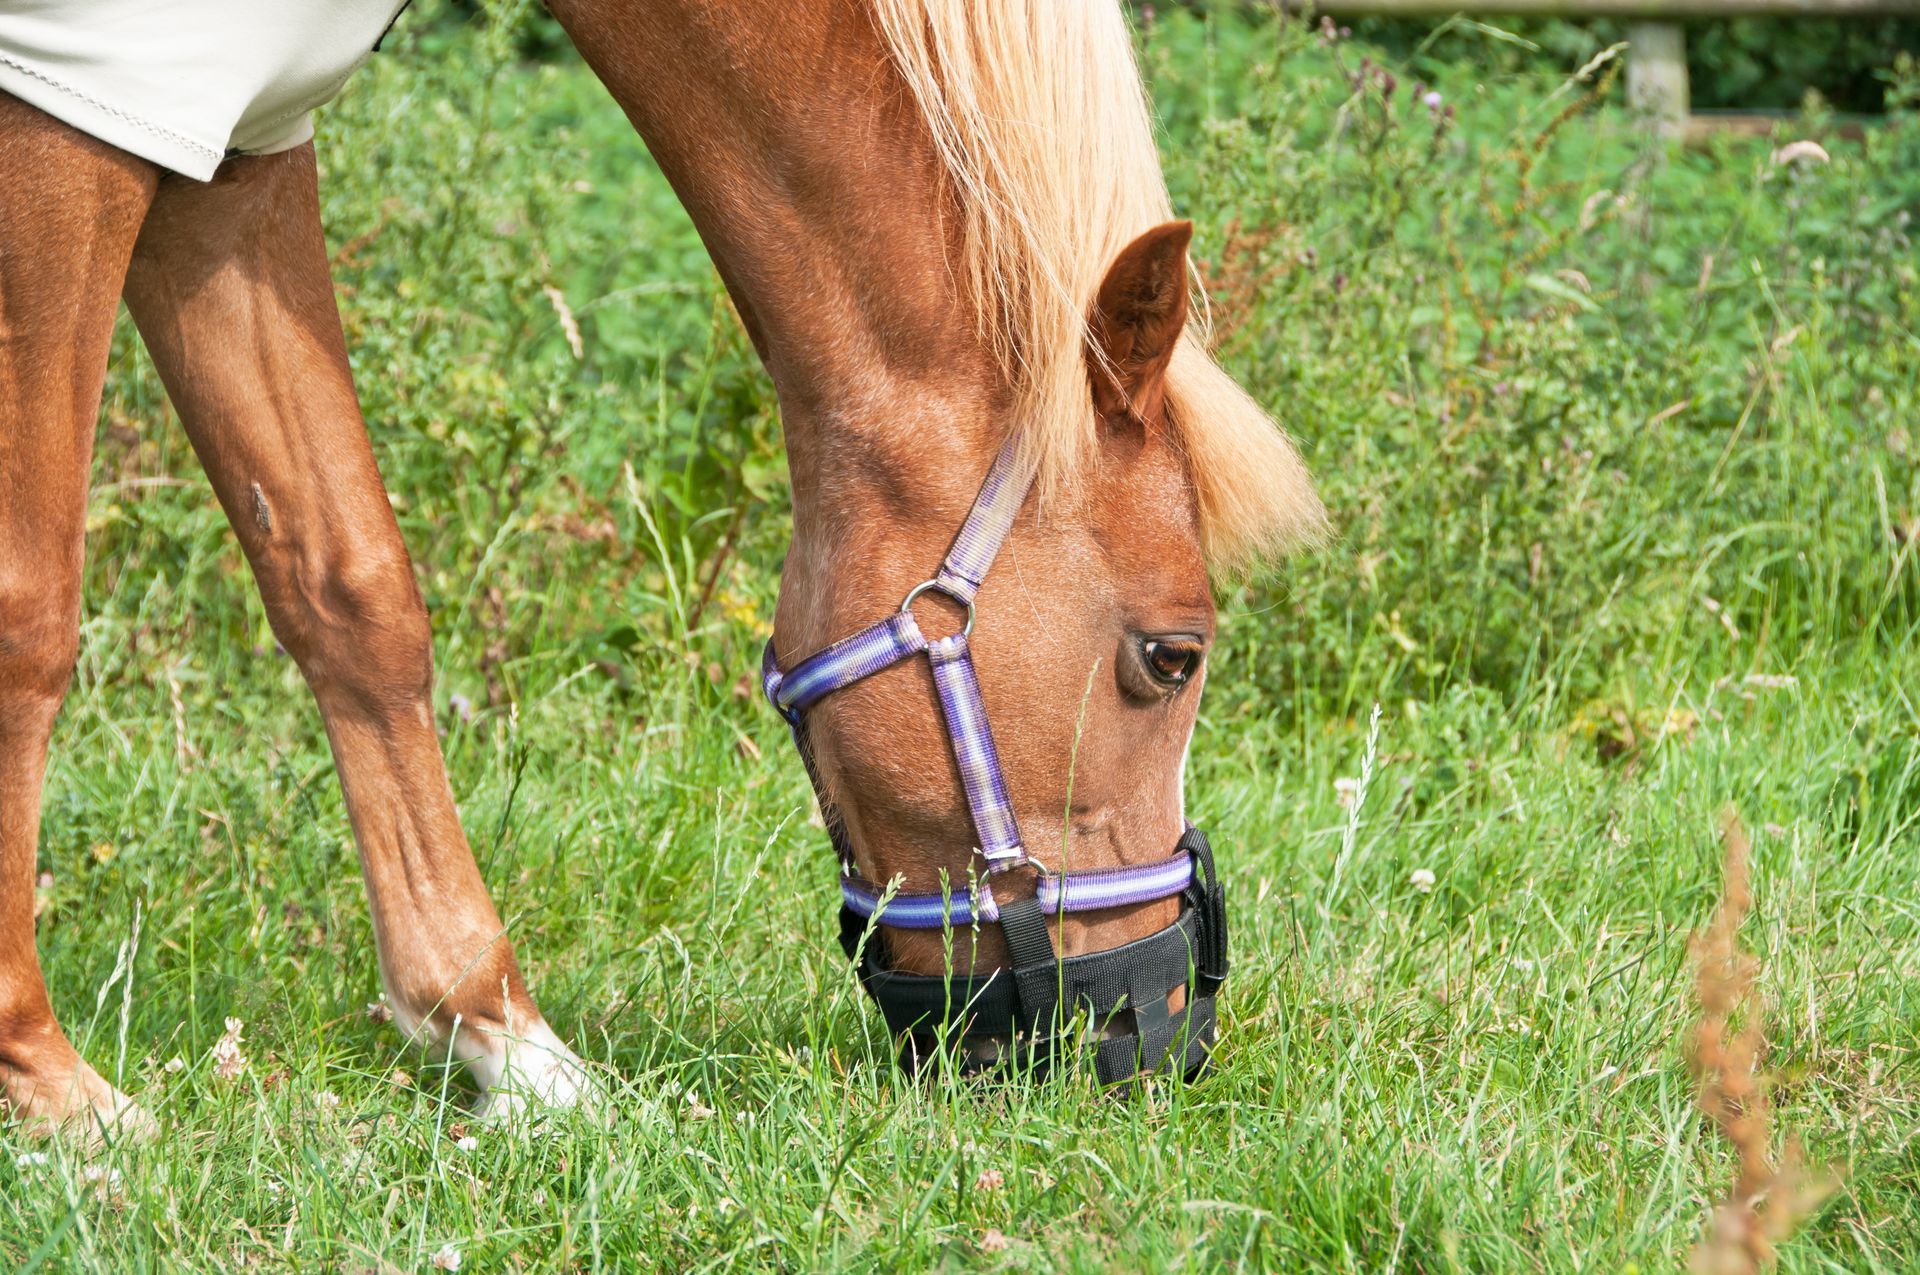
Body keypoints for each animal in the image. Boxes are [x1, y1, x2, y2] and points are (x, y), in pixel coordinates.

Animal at [0, 0, 1322, 1139]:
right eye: (1172, 657)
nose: (1167, 1030)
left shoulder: (232, 141)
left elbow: (350, 585)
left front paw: (503, 1042)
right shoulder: (70, 105)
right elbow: (31, 613)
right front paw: (53, 1093)